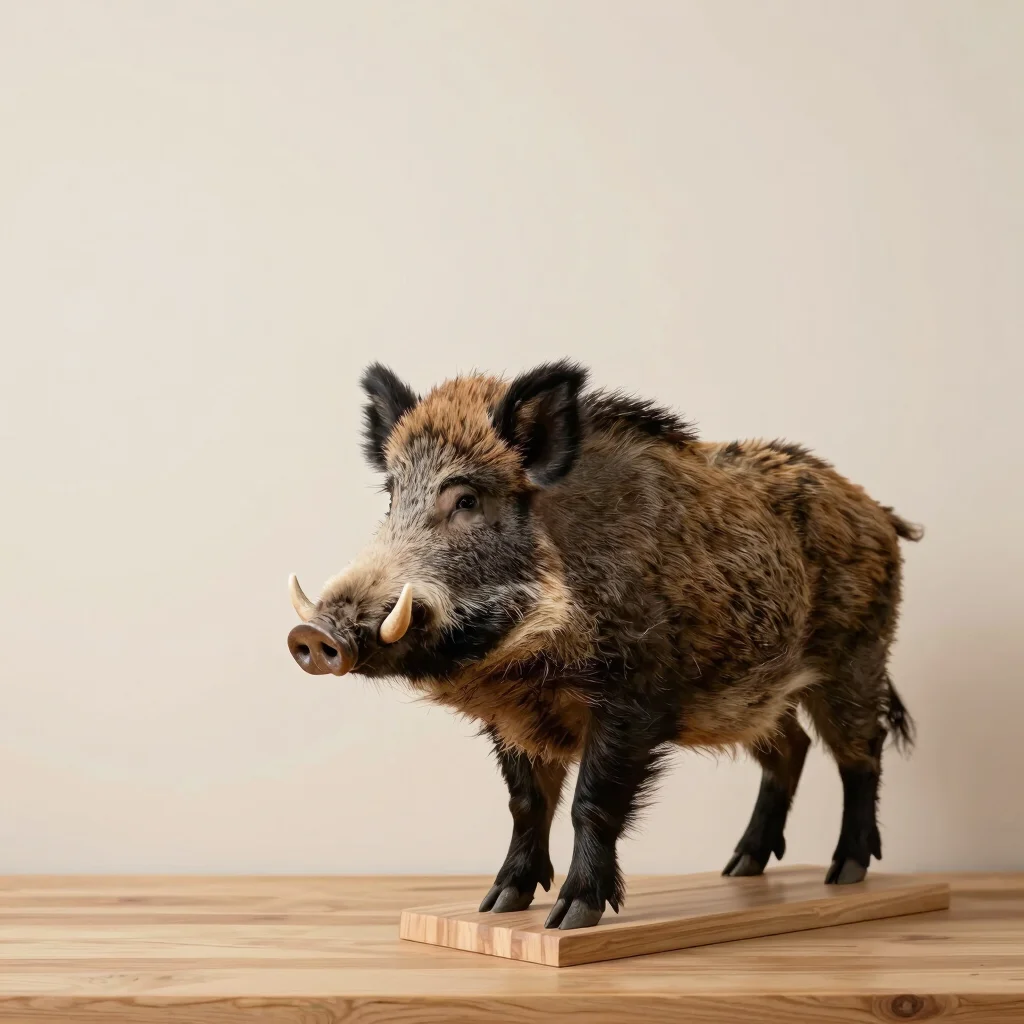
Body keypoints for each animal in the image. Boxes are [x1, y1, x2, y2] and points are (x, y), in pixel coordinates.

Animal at [287, 361, 920, 930]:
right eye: (392, 497)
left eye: (465, 500)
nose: (315, 636)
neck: (530, 662)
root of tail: (882, 513)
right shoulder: (509, 715)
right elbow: (526, 803)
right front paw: (497, 906)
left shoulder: (633, 699)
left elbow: (590, 802)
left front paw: (570, 919)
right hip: (754, 693)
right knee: (790, 749)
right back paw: (738, 870)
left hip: (857, 656)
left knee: (862, 752)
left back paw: (844, 874)